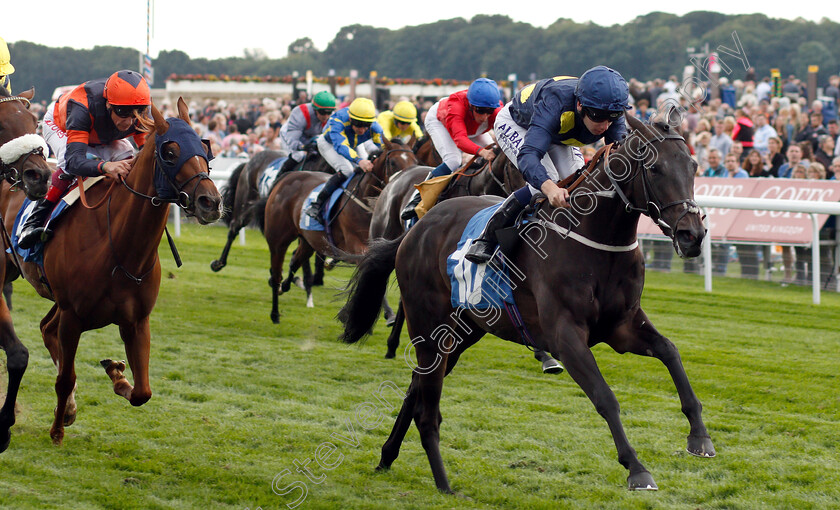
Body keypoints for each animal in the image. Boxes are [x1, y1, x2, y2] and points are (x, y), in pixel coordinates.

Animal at [18, 97, 221, 444]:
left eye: (205, 146)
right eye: (170, 152)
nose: (211, 202)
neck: (120, 249)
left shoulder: (136, 320)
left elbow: (142, 391)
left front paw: (116, 373)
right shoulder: (73, 316)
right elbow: (65, 378)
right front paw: (57, 431)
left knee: (46, 328)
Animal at [253, 136, 416, 322]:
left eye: (415, 161)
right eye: (393, 162)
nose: (407, 182)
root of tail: (285, 178)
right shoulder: (356, 245)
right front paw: (388, 314)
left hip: (309, 241)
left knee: (294, 261)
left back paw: (286, 286)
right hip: (278, 240)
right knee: (276, 273)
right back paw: (274, 313)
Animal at [340, 113, 716, 492]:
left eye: (694, 166)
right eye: (654, 169)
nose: (692, 235)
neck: (596, 239)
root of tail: (415, 230)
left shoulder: (622, 326)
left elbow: (670, 352)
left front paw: (699, 437)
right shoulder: (565, 336)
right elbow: (605, 397)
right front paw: (637, 468)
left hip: (461, 334)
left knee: (415, 389)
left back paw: (387, 456)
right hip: (430, 327)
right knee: (424, 401)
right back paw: (436, 478)